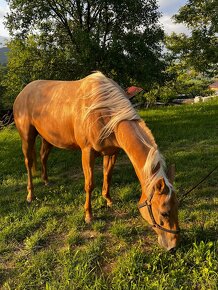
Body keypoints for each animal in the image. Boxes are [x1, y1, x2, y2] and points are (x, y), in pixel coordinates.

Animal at [14, 71, 181, 250]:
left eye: (177, 206)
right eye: (164, 212)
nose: (173, 245)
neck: (104, 111)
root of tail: (23, 92)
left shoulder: (111, 153)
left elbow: (107, 177)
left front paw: (108, 200)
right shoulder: (87, 152)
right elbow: (89, 184)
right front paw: (88, 215)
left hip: (48, 138)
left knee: (43, 156)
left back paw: (46, 181)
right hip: (27, 137)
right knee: (29, 163)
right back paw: (30, 195)